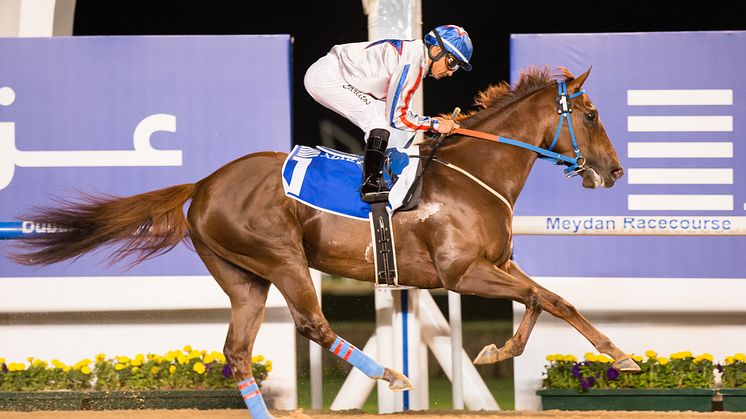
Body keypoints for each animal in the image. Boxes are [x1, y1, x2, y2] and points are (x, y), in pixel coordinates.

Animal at [10, 68, 640, 404]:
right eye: (589, 114)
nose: (613, 171)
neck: (472, 175)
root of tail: (204, 183)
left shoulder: (498, 265)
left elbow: (552, 299)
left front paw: (615, 355)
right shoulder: (464, 274)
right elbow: (539, 298)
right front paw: (511, 351)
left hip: (243, 277)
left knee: (237, 353)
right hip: (281, 258)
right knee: (312, 324)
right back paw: (390, 374)